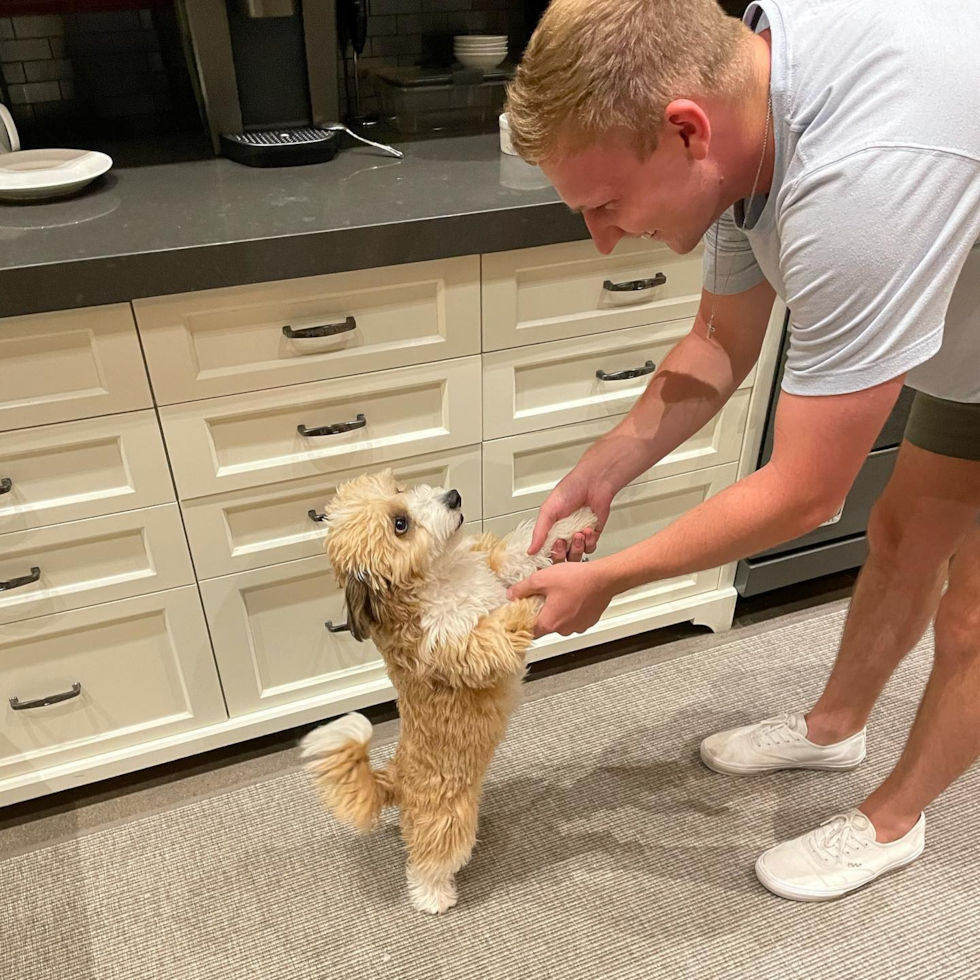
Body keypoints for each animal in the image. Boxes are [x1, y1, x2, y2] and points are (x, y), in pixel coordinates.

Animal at [298, 470, 592, 916]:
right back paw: (433, 897)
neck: (444, 574)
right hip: (446, 818)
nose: (452, 496)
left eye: (400, 489)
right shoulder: (467, 647)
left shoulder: (493, 568)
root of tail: (394, 778)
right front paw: (542, 594)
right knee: (428, 861)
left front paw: (573, 520)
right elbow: (504, 619)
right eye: (400, 524)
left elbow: (519, 551)